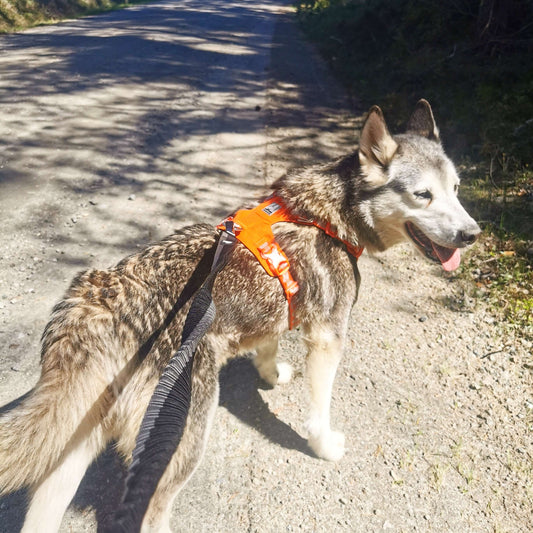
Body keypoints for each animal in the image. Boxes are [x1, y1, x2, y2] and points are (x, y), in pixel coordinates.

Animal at [0, 98, 480, 528]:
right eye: (423, 195)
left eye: (456, 189)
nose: (472, 234)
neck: (333, 215)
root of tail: (99, 299)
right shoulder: (327, 336)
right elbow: (319, 410)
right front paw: (324, 445)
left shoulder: (277, 313)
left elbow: (267, 349)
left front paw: (271, 374)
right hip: (180, 436)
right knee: (151, 514)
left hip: (77, 443)